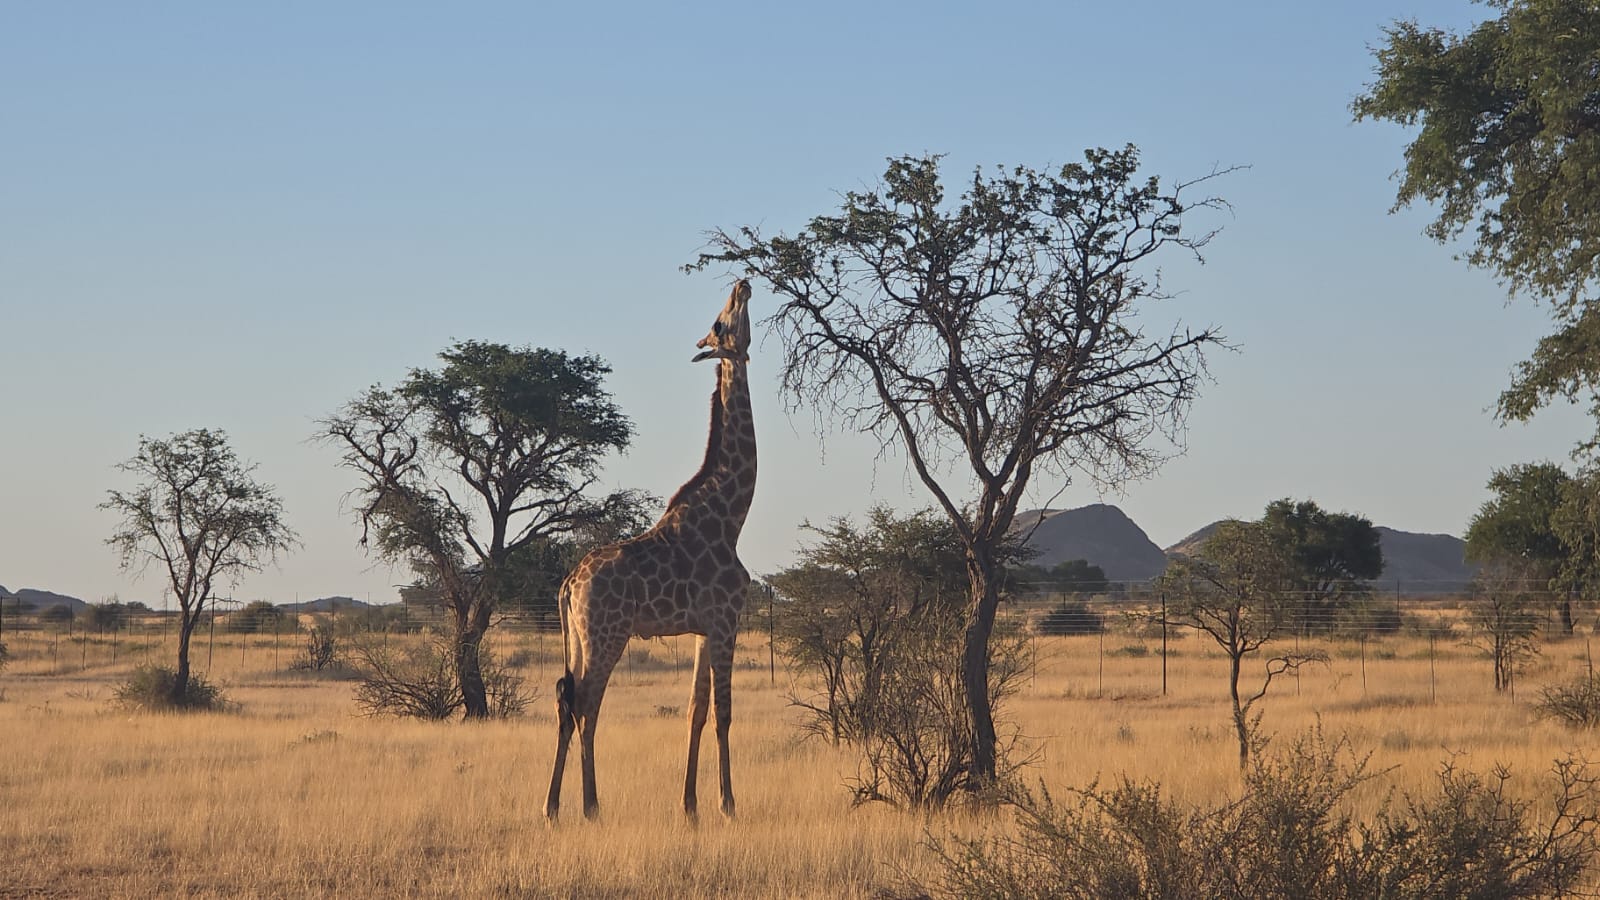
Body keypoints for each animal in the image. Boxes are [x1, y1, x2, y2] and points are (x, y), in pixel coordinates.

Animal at [544, 279, 756, 822]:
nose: (742, 282)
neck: (731, 517)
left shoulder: (702, 629)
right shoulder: (726, 619)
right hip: (608, 633)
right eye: (720, 321)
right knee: (586, 705)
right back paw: (590, 806)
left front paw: (690, 806)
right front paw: (728, 804)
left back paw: (552, 808)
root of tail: (566, 585)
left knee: (566, 700)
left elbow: (695, 712)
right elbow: (724, 713)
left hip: (579, 637)